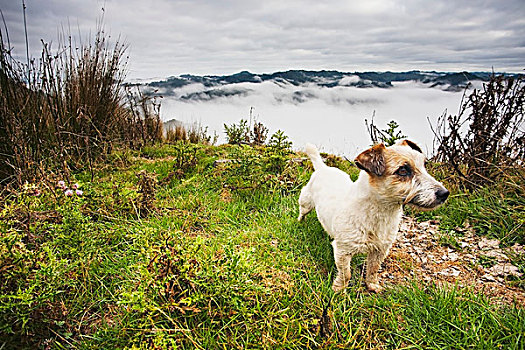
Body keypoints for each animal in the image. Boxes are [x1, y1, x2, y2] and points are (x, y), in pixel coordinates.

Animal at [296, 140, 448, 292]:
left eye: (424, 165)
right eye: (403, 170)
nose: (445, 193)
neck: (379, 213)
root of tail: (323, 168)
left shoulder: (380, 250)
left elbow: (373, 268)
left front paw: (372, 285)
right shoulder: (343, 251)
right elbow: (346, 273)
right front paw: (339, 290)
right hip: (306, 202)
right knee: (302, 212)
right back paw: (300, 222)